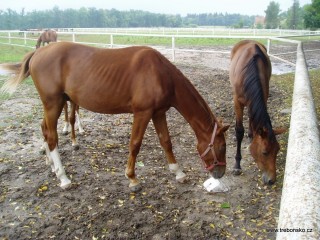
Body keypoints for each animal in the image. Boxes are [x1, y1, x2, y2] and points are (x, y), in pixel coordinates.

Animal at [0, 41, 230, 191]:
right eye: (221, 147)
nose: (220, 173)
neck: (160, 74)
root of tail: (38, 53)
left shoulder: (158, 113)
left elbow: (166, 141)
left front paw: (178, 173)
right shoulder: (142, 113)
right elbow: (135, 144)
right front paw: (132, 178)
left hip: (52, 105)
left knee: (44, 129)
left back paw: (52, 165)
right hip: (53, 103)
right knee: (51, 137)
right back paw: (64, 178)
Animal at [230, 40, 284, 185]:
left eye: (278, 150)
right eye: (265, 152)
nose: (271, 180)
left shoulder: (262, 97)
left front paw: (251, 135)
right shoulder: (237, 102)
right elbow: (239, 131)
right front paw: (237, 166)